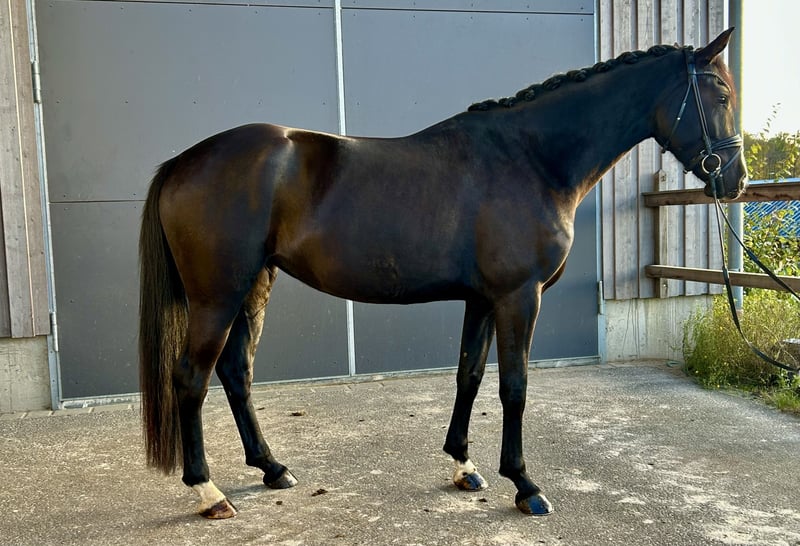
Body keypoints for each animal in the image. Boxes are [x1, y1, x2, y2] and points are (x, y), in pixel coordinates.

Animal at [139, 29, 747, 519]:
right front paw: (525, 485)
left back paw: (271, 468)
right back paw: (209, 492)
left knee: (235, 373)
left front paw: (463, 466)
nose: (736, 180)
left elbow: (469, 375)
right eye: (721, 94)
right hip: (216, 297)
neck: (531, 158)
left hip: (253, 288)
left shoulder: (482, 299)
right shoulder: (519, 297)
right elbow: (513, 386)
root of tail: (182, 161)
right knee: (191, 379)